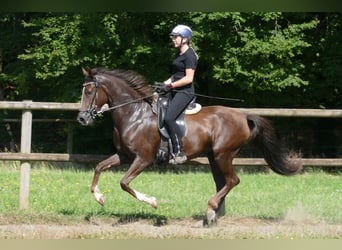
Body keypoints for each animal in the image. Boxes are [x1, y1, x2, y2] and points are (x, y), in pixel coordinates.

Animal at [76, 67, 300, 226]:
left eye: (89, 91)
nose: (81, 119)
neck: (134, 114)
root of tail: (243, 117)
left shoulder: (143, 159)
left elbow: (124, 183)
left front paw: (152, 201)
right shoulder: (124, 156)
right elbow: (99, 167)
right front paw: (99, 198)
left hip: (223, 154)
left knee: (232, 180)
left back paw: (210, 209)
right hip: (214, 157)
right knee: (223, 182)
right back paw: (212, 216)